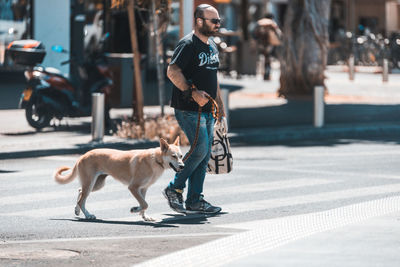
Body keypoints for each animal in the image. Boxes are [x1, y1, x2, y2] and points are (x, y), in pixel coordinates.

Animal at [53, 138, 184, 222]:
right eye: (173, 156)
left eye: (181, 156)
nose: (182, 166)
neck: (156, 159)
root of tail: (83, 155)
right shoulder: (133, 187)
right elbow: (145, 204)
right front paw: (134, 209)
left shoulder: (143, 189)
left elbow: (144, 204)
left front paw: (144, 216)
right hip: (90, 183)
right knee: (81, 199)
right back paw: (88, 215)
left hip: (97, 184)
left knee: (80, 191)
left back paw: (77, 210)